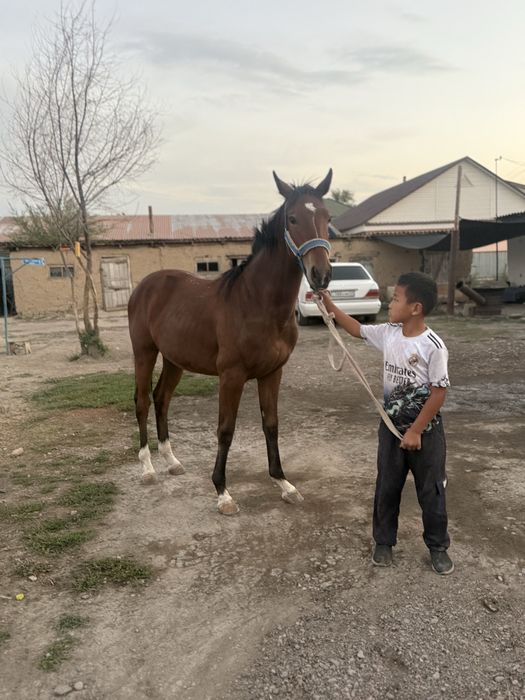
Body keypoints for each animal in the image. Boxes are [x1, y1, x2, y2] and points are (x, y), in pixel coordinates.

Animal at [127, 169, 333, 514]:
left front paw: (284, 483)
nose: (321, 274)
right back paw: (147, 468)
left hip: (174, 360)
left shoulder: (272, 373)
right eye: (292, 218)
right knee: (142, 401)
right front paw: (222, 492)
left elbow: (271, 424)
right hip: (144, 353)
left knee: (161, 398)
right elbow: (225, 429)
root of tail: (146, 285)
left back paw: (171, 461)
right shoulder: (231, 376)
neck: (257, 302)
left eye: (327, 217)